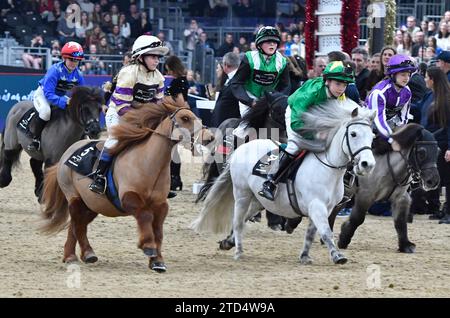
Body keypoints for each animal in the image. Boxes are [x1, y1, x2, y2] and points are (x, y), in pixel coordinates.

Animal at [39, 95, 214, 272]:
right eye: (185, 118)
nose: (209, 137)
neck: (147, 163)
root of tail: (66, 154)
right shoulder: (129, 198)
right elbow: (145, 215)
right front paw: (148, 246)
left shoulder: (161, 204)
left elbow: (158, 230)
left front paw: (157, 261)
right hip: (74, 198)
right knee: (77, 224)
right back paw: (85, 253)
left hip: (92, 205)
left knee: (75, 225)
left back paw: (72, 255)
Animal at [192, 100, 376, 264]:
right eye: (353, 134)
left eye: (372, 136)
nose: (367, 164)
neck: (328, 169)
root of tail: (241, 149)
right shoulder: (317, 206)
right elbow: (325, 231)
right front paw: (338, 256)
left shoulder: (326, 207)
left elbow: (311, 233)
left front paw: (305, 256)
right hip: (242, 193)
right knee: (237, 221)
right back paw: (238, 251)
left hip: (259, 199)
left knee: (246, 217)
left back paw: (228, 242)